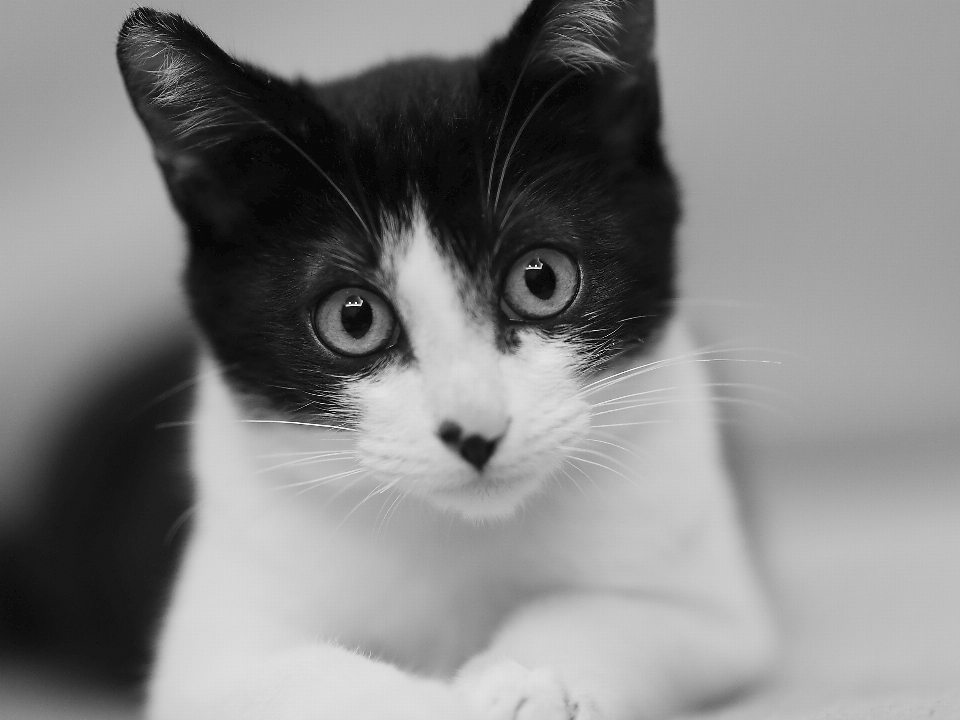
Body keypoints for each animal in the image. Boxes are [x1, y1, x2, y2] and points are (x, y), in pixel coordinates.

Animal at [116, 2, 772, 716]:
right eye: (353, 319)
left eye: (542, 281)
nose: (476, 433)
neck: (460, 532)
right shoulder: (212, 637)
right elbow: (287, 677)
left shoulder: (714, 598)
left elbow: (620, 612)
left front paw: (527, 678)